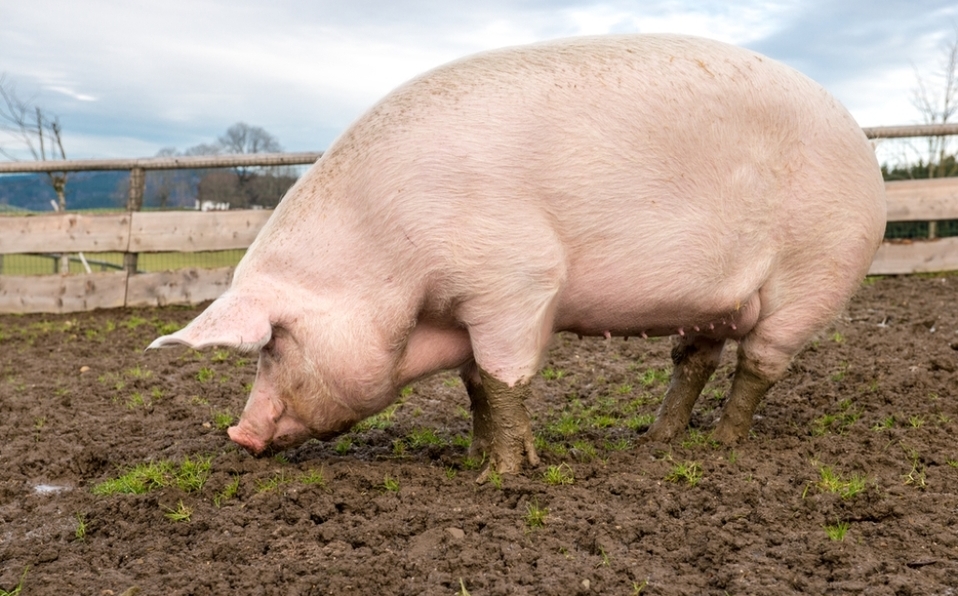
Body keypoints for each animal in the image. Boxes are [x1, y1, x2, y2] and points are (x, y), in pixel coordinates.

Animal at [146, 32, 888, 482]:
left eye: (272, 344)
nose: (238, 435)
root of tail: (862, 139)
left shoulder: (517, 281)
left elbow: (506, 377)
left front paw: (500, 475)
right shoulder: (463, 308)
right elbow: (476, 381)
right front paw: (472, 454)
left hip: (817, 272)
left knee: (761, 362)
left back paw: (721, 446)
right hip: (714, 300)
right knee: (695, 358)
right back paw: (654, 443)